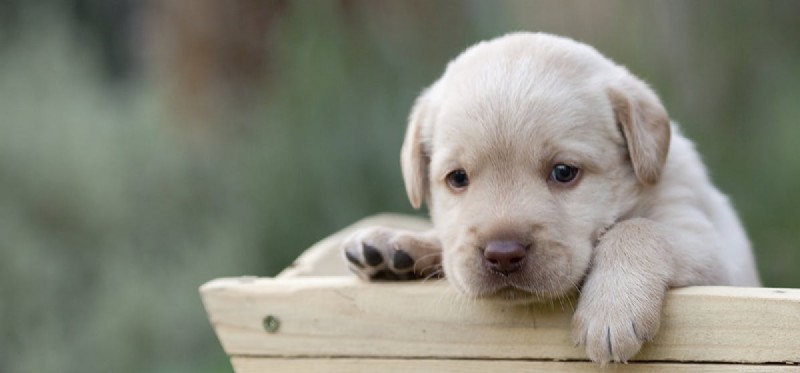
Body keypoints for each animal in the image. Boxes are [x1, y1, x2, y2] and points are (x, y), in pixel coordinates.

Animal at [340, 32, 760, 364]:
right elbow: (448, 245)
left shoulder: (715, 250)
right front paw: (396, 242)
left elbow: (636, 229)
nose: (502, 254)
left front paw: (611, 308)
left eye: (563, 172)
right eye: (457, 178)